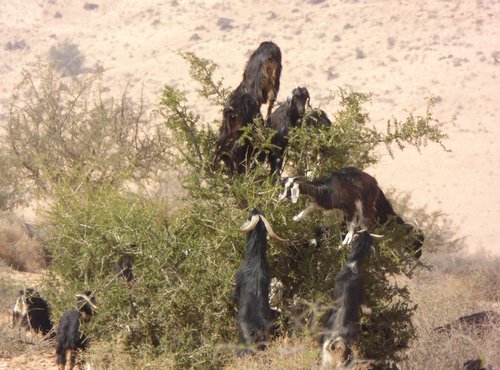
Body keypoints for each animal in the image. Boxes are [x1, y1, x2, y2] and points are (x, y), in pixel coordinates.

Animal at [320, 231, 372, 368]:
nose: (366, 232)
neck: (352, 264)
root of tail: (333, 344)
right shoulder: (361, 290)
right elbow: (365, 304)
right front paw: (369, 311)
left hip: (327, 360)